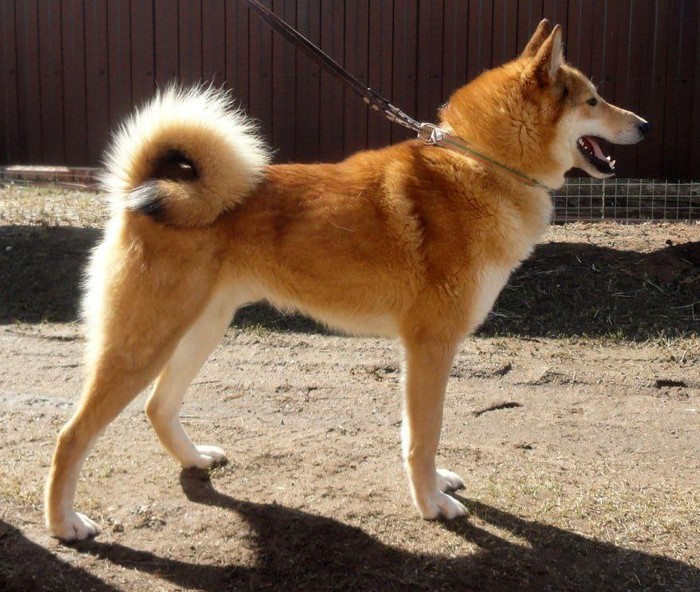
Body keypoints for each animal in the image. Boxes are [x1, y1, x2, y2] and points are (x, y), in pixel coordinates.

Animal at [45, 20, 648, 540]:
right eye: (592, 100)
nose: (643, 125)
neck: (480, 165)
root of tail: (138, 193)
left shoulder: (420, 352)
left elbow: (414, 433)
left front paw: (434, 486)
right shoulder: (432, 346)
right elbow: (425, 436)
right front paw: (431, 504)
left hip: (201, 330)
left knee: (158, 407)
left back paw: (194, 460)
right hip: (143, 344)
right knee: (72, 435)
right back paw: (65, 523)